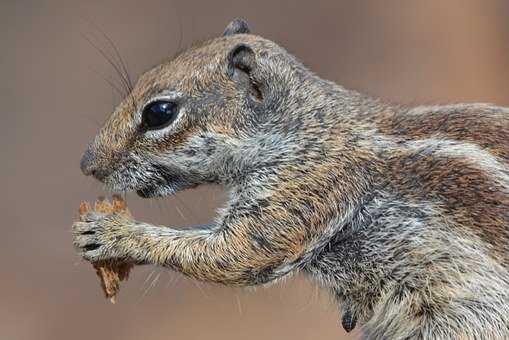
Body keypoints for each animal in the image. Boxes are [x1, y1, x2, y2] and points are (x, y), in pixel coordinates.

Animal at [73, 19, 508, 340]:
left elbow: (233, 254)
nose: (87, 164)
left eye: (159, 113)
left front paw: (113, 232)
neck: (305, 126)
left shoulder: (305, 188)